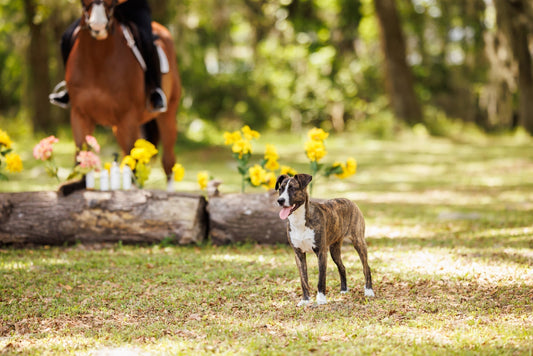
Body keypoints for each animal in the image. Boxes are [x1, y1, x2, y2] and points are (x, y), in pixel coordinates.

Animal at [63, 0, 181, 192]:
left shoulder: (128, 116)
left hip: (167, 114)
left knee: (168, 161)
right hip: (118, 127)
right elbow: (82, 152)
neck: (97, 60)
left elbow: (133, 159)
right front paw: (76, 184)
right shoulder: (79, 114)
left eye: (110, 3)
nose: (98, 26)